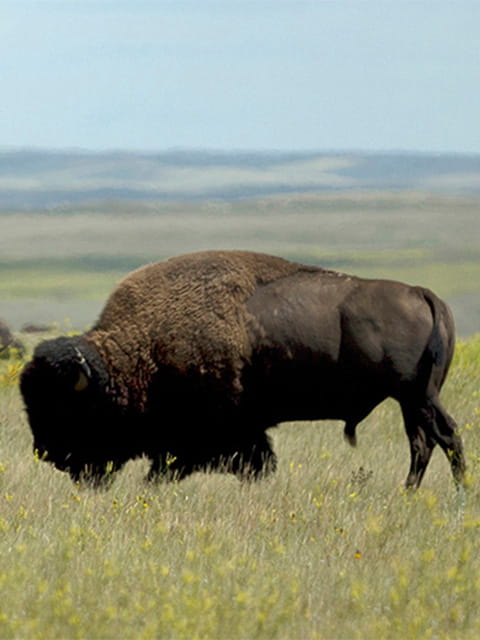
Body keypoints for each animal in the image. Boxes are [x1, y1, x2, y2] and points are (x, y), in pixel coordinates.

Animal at [20, 250, 465, 488]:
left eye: (65, 406)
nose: (46, 452)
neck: (141, 347)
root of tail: (422, 293)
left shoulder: (214, 433)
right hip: (411, 399)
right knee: (423, 442)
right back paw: (410, 492)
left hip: (416, 395)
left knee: (444, 436)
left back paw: (457, 492)